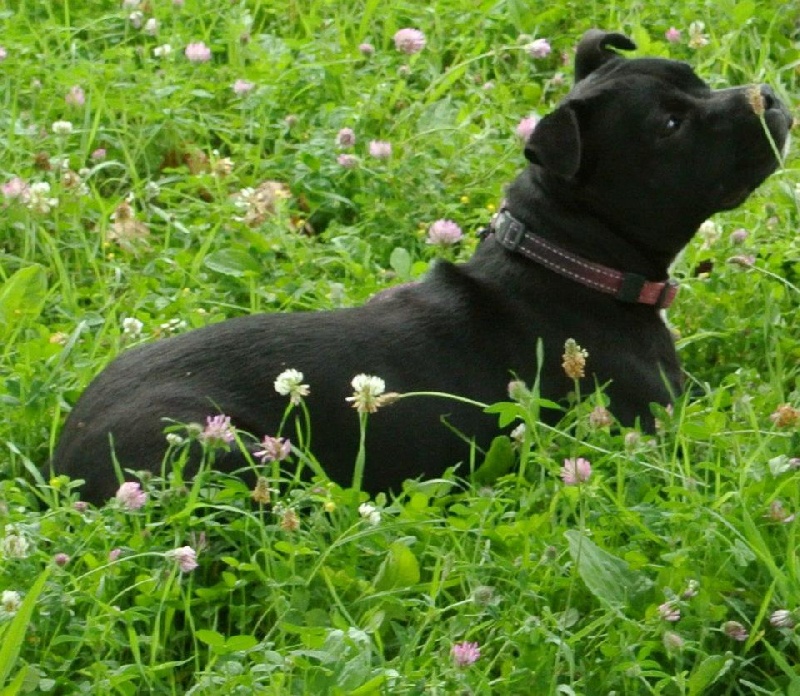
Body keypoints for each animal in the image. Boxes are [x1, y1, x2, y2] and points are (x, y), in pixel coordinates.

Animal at [51, 29, 792, 502]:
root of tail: (64, 457)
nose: (771, 96)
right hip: (223, 447)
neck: (572, 259)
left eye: (699, 82)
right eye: (669, 125)